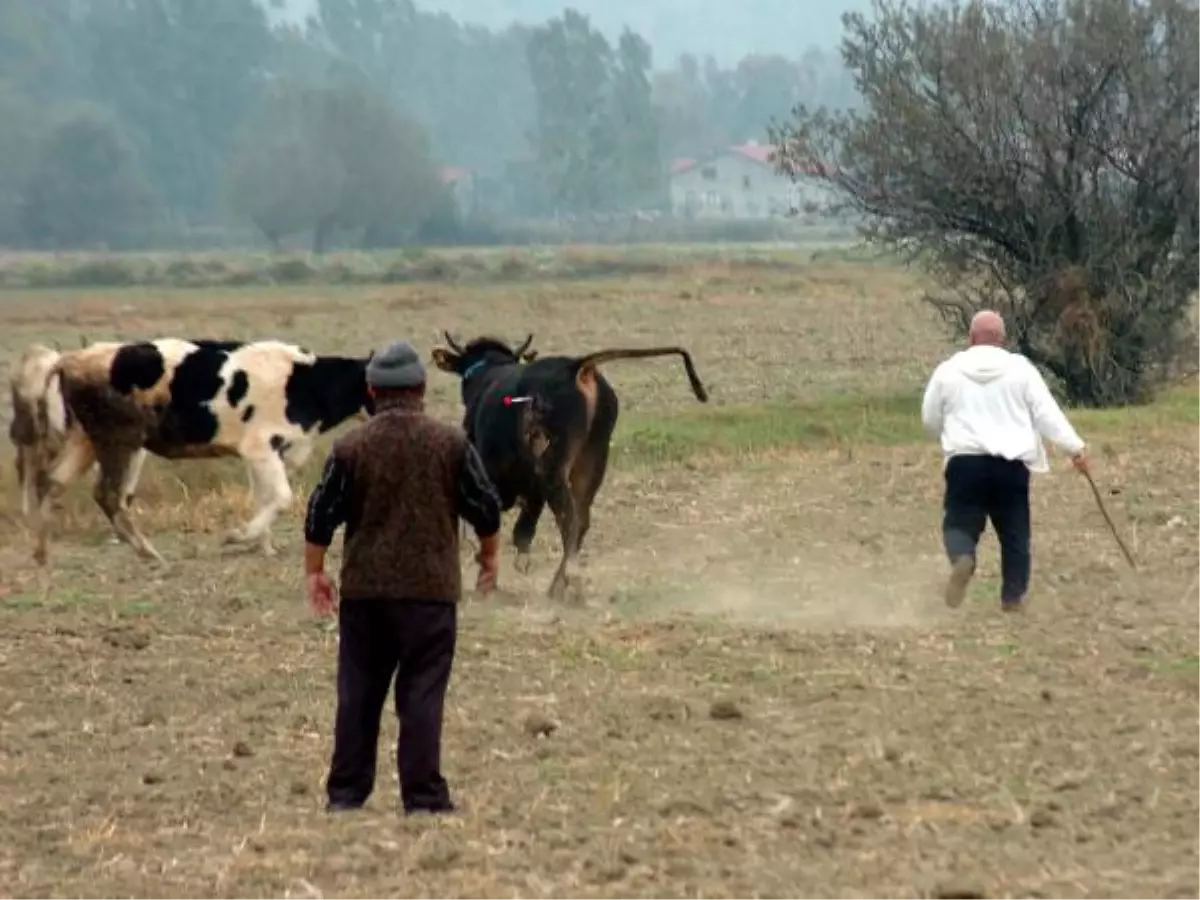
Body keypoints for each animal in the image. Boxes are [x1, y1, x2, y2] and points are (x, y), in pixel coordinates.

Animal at [32, 340, 372, 566]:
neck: (305, 383)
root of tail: (71, 359)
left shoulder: (264, 454)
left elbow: (265, 497)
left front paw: (264, 547)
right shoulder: (261, 447)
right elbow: (281, 497)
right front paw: (238, 536)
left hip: (84, 440)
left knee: (53, 481)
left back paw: (42, 554)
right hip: (119, 441)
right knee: (108, 494)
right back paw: (147, 552)